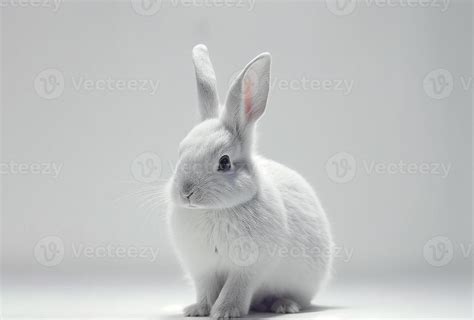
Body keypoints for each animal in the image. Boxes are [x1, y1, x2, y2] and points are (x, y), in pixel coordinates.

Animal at [167, 43, 334, 318]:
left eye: (224, 162)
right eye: (180, 152)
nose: (186, 192)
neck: (214, 211)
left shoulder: (248, 269)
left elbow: (234, 289)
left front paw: (225, 312)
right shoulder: (203, 269)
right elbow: (206, 290)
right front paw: (198, 310)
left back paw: (283, 305)